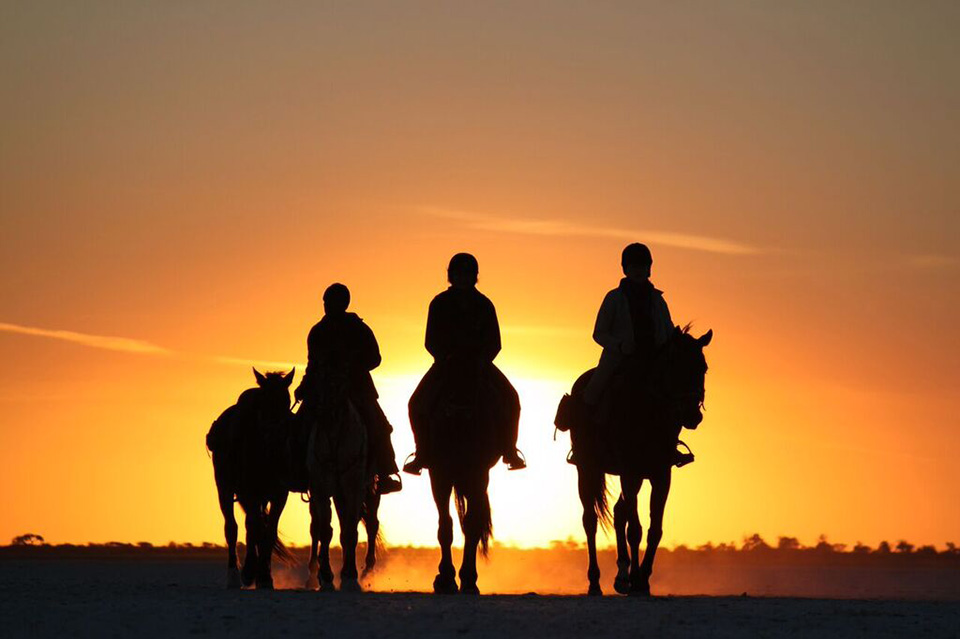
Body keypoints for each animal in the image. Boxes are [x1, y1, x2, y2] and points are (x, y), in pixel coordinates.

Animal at [208, 368, 298, 592]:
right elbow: (255, 528)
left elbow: (268, 532)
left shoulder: (278, 495)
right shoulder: (249, 493)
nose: (275, 435)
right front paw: (251, 572)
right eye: (264, 401)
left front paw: (265, 576)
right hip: (225, 490)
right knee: (232, 528)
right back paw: (235, 575)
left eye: (286, 400)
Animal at [302, 372, 374, 592]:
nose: (315, 402)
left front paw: (350, 576)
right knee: (321, 527)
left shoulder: (354, 488)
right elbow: (325, 531)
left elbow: (350, 531)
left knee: (370, 524)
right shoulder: (320, 489)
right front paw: (325, 576)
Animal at [568, 328, 708, 596]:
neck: (649, 413)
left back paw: (622, 576)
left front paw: (642, 580)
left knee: (618, 512)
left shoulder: (661, 476)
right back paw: (595, 582)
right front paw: (636, 580)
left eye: (703, 367)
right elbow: (635, 529)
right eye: (675, 363)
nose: (692, 415)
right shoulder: (629, 473)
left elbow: (655, 530)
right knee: (590, 520)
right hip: (587, 469)